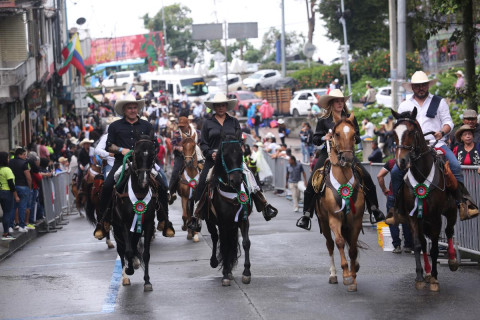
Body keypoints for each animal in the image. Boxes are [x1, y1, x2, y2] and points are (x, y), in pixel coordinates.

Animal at [110, 132, 159, 290]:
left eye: (153, 153)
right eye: (136, 153)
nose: (144, 181)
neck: (139, 193)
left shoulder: (148, 224)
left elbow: (146, 254)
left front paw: (147, 281)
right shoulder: (124, 224)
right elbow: (128, 251)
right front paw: (129, 269)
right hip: (117, 228)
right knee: (121, 250)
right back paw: (125, 276)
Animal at [203, 134, 253, 286]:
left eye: (241, 154)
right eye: (224, 155)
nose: (236, 180)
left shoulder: (243, 220)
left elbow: (246, 243)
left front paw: (246, 273)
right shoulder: (223, 223)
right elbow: (224, 245)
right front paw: (225, 274)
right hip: (210, 221)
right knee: (215, 237)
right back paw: (215, 262)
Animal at [314, 113, 366, 292]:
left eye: (354, 134)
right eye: (336, 134)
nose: (347, 158)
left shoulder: (355, 220)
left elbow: (353, 248)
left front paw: (354, 278)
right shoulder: (334, 218)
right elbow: (340, 242)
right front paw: (346, 275)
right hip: (323, 221)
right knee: (330, 244)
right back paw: (333, 275)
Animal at [392, 109, 460, 292]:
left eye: (411, 131)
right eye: (394, 133)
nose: (401, 161)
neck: (421, 176)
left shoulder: (436, 216)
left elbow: (435, 248)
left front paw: (435, 279)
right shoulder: (413, 216)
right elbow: (418, 244)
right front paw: (420, 277)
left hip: (450, 211)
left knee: (449, 231)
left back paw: (452, 260)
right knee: (424, 243)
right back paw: (428, 273)